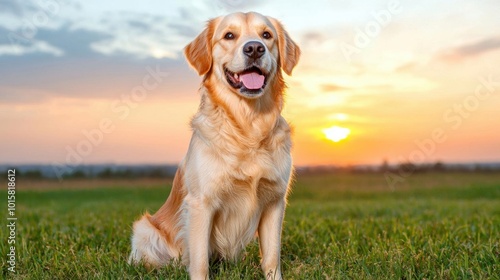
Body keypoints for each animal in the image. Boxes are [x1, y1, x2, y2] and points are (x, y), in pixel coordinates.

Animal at [130, 11, 300, 280]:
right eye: (229, 35)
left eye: (266, 35)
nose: (254, 48)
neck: (247, 125)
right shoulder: (202, 202)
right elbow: (199, 260)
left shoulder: (274, 200)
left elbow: (272, 257)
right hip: (145, 230)